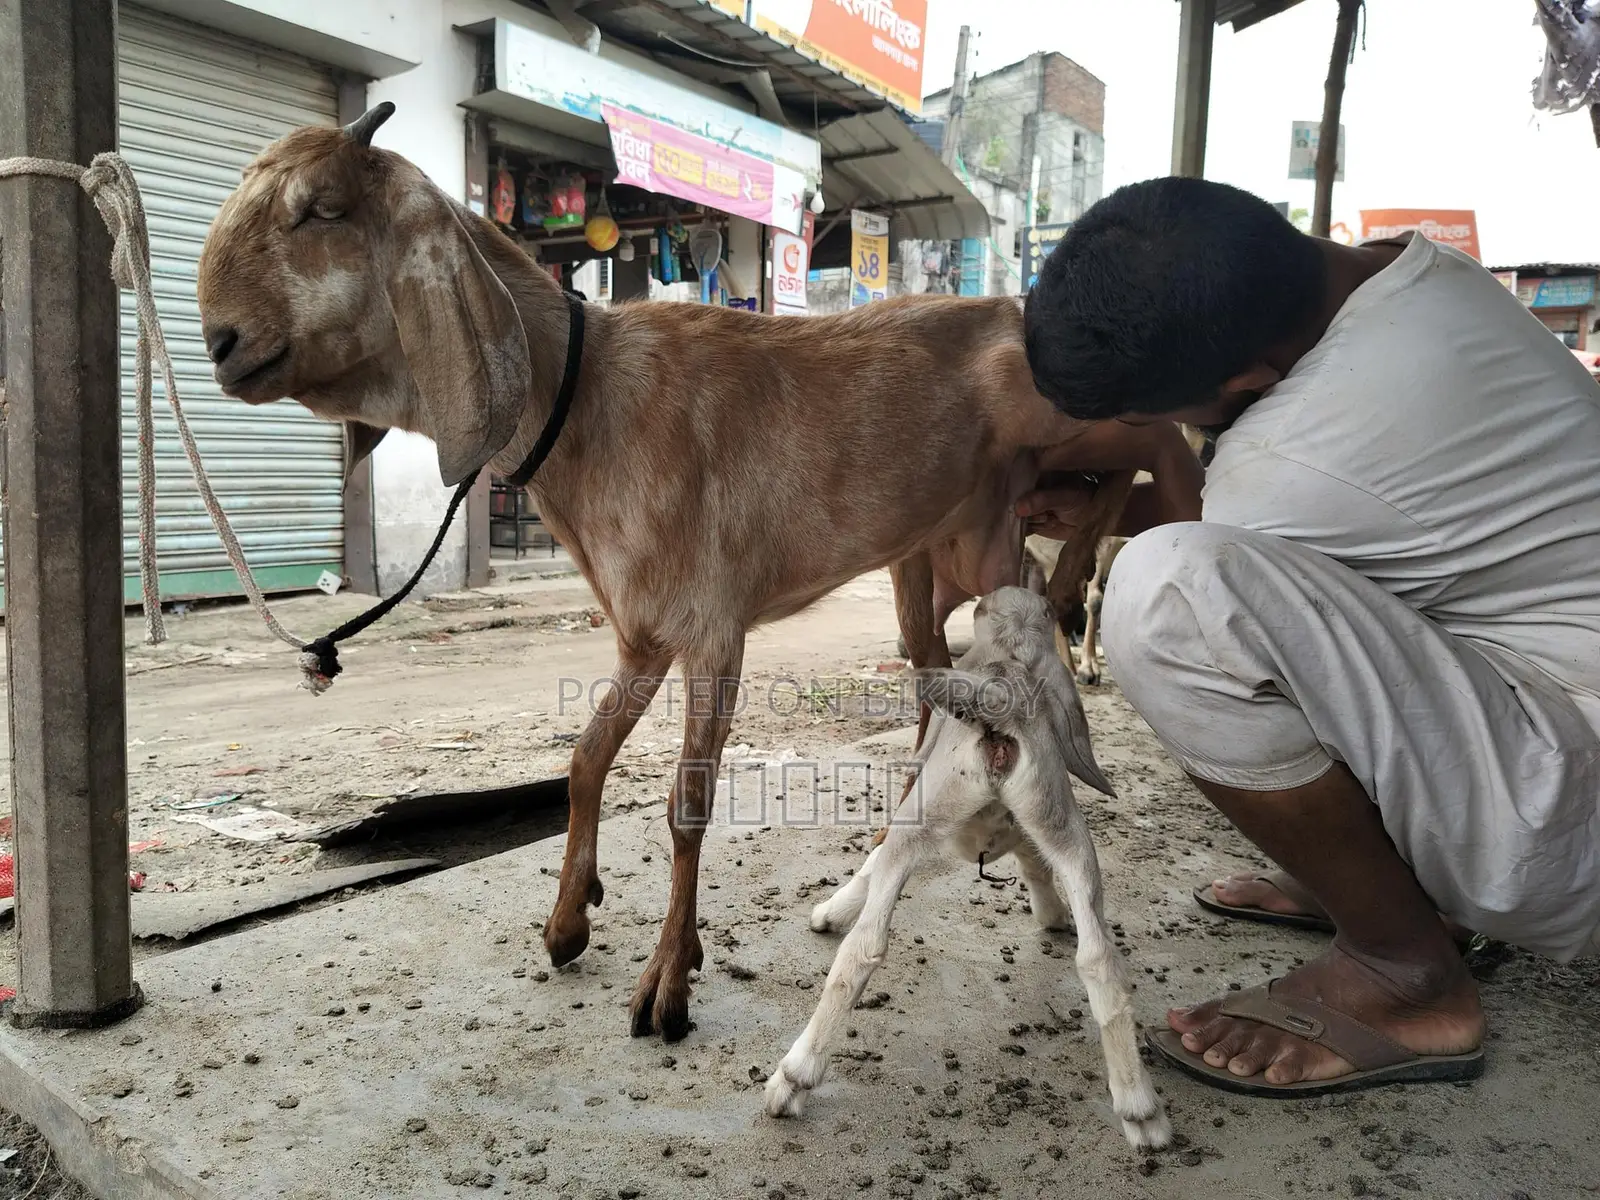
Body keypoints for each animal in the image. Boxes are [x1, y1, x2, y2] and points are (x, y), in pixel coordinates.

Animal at [194, 104, 1133, 1043]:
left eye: (323, 209)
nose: (220, 343)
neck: (591, 398)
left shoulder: (714, 629)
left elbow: (688, 802)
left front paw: (668, 982)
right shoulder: (642, 631)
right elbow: (584, 758)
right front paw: (569, 919)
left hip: (1023, 501)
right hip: (927, 560)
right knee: (931, 684)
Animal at [763, 586, 1172, 1153]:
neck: (1011, 650)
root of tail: (1005, 695)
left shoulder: (915, 805)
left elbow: (872, 858)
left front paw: (829, 912)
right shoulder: (1031, 828)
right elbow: (1034, 863)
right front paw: (1051, 914)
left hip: (927, 813)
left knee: (865, 946)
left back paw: (793, 1078)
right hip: (1066, 827)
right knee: (1099, 958)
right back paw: (1141, 1109)